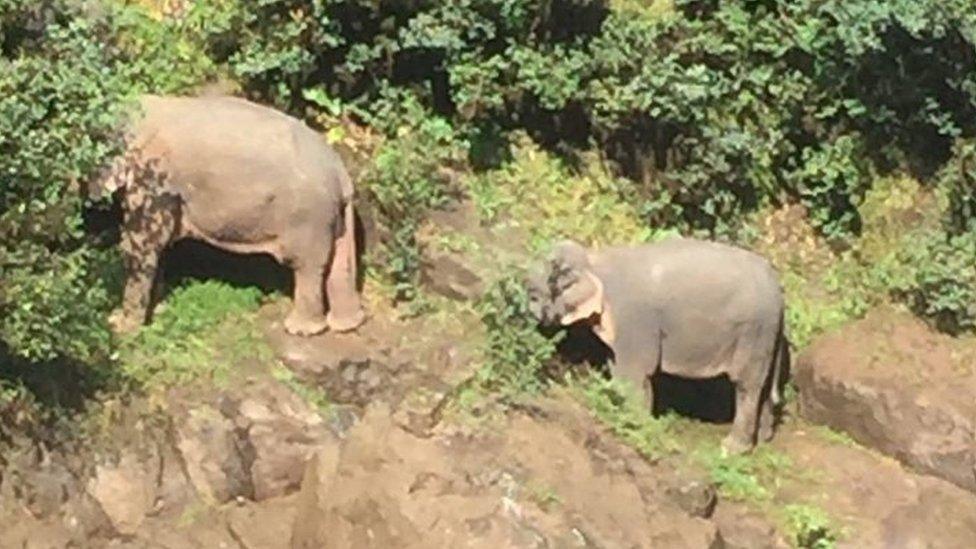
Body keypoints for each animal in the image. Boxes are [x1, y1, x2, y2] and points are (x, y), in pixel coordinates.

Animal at [90, 93, 366, 334]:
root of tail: (340, 173)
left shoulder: (153, 176)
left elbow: (144, 242)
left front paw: (120, 326)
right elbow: (159, 243)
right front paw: (158, 309)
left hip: (308, 217)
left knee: (307, 266)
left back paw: (300, 330)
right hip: (336, 215)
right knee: (340, 263)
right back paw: (347, 325)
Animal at [528, 238, 784, 452]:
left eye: (534, 294)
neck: (595, 259)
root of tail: (780, 294)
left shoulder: (633, 320)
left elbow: (634, 373)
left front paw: (634, 424)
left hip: (753, 331)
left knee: (746, 385)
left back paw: (733, 449)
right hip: (766, 336)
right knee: (763, 386)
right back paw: (764, 440)